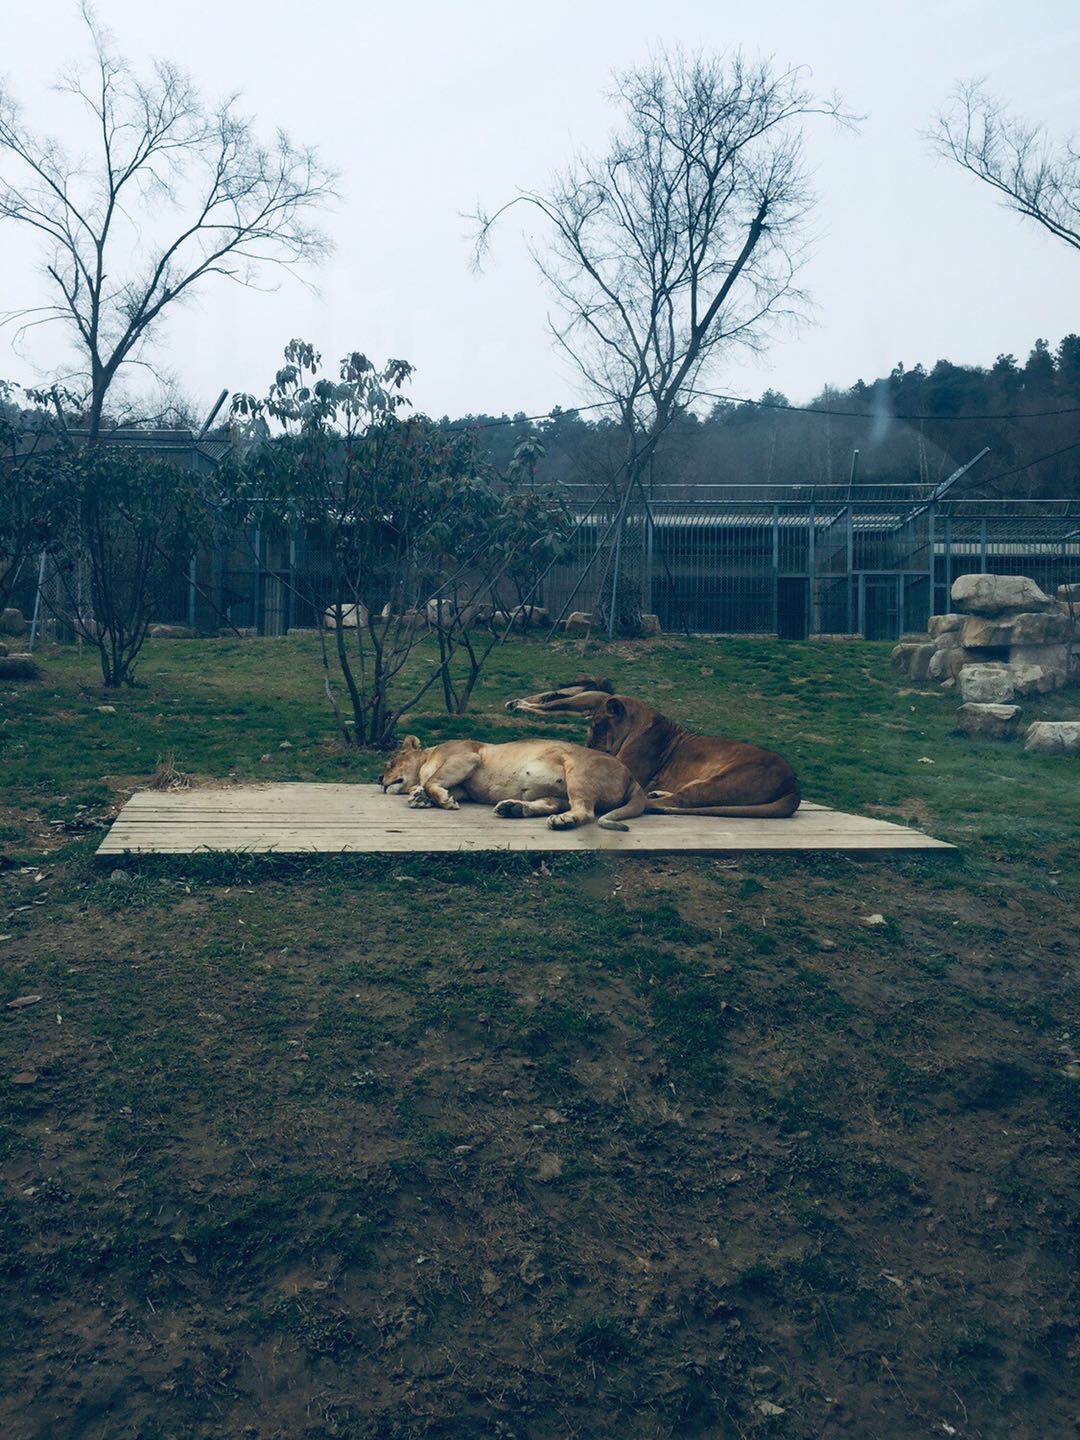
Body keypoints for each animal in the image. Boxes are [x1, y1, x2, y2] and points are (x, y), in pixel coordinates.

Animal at [380, 731, 648, 835]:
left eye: (390, 762)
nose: (379, 779)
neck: (427, 757)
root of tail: (633, 777)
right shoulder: (462, 786)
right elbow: (430, 785)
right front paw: (419, 797)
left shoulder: (466, 756)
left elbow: (433, 782)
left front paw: (439, 799)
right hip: (558, 794)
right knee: (551, 804)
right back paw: (513, 808)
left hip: (578, 772)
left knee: (586, 811)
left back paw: (563, 821)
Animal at [504, 679, 800, 817]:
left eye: (598, 726)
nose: (589, 743)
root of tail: (793, 783)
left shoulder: (629, 767)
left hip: (720, 780)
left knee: (672, 803)